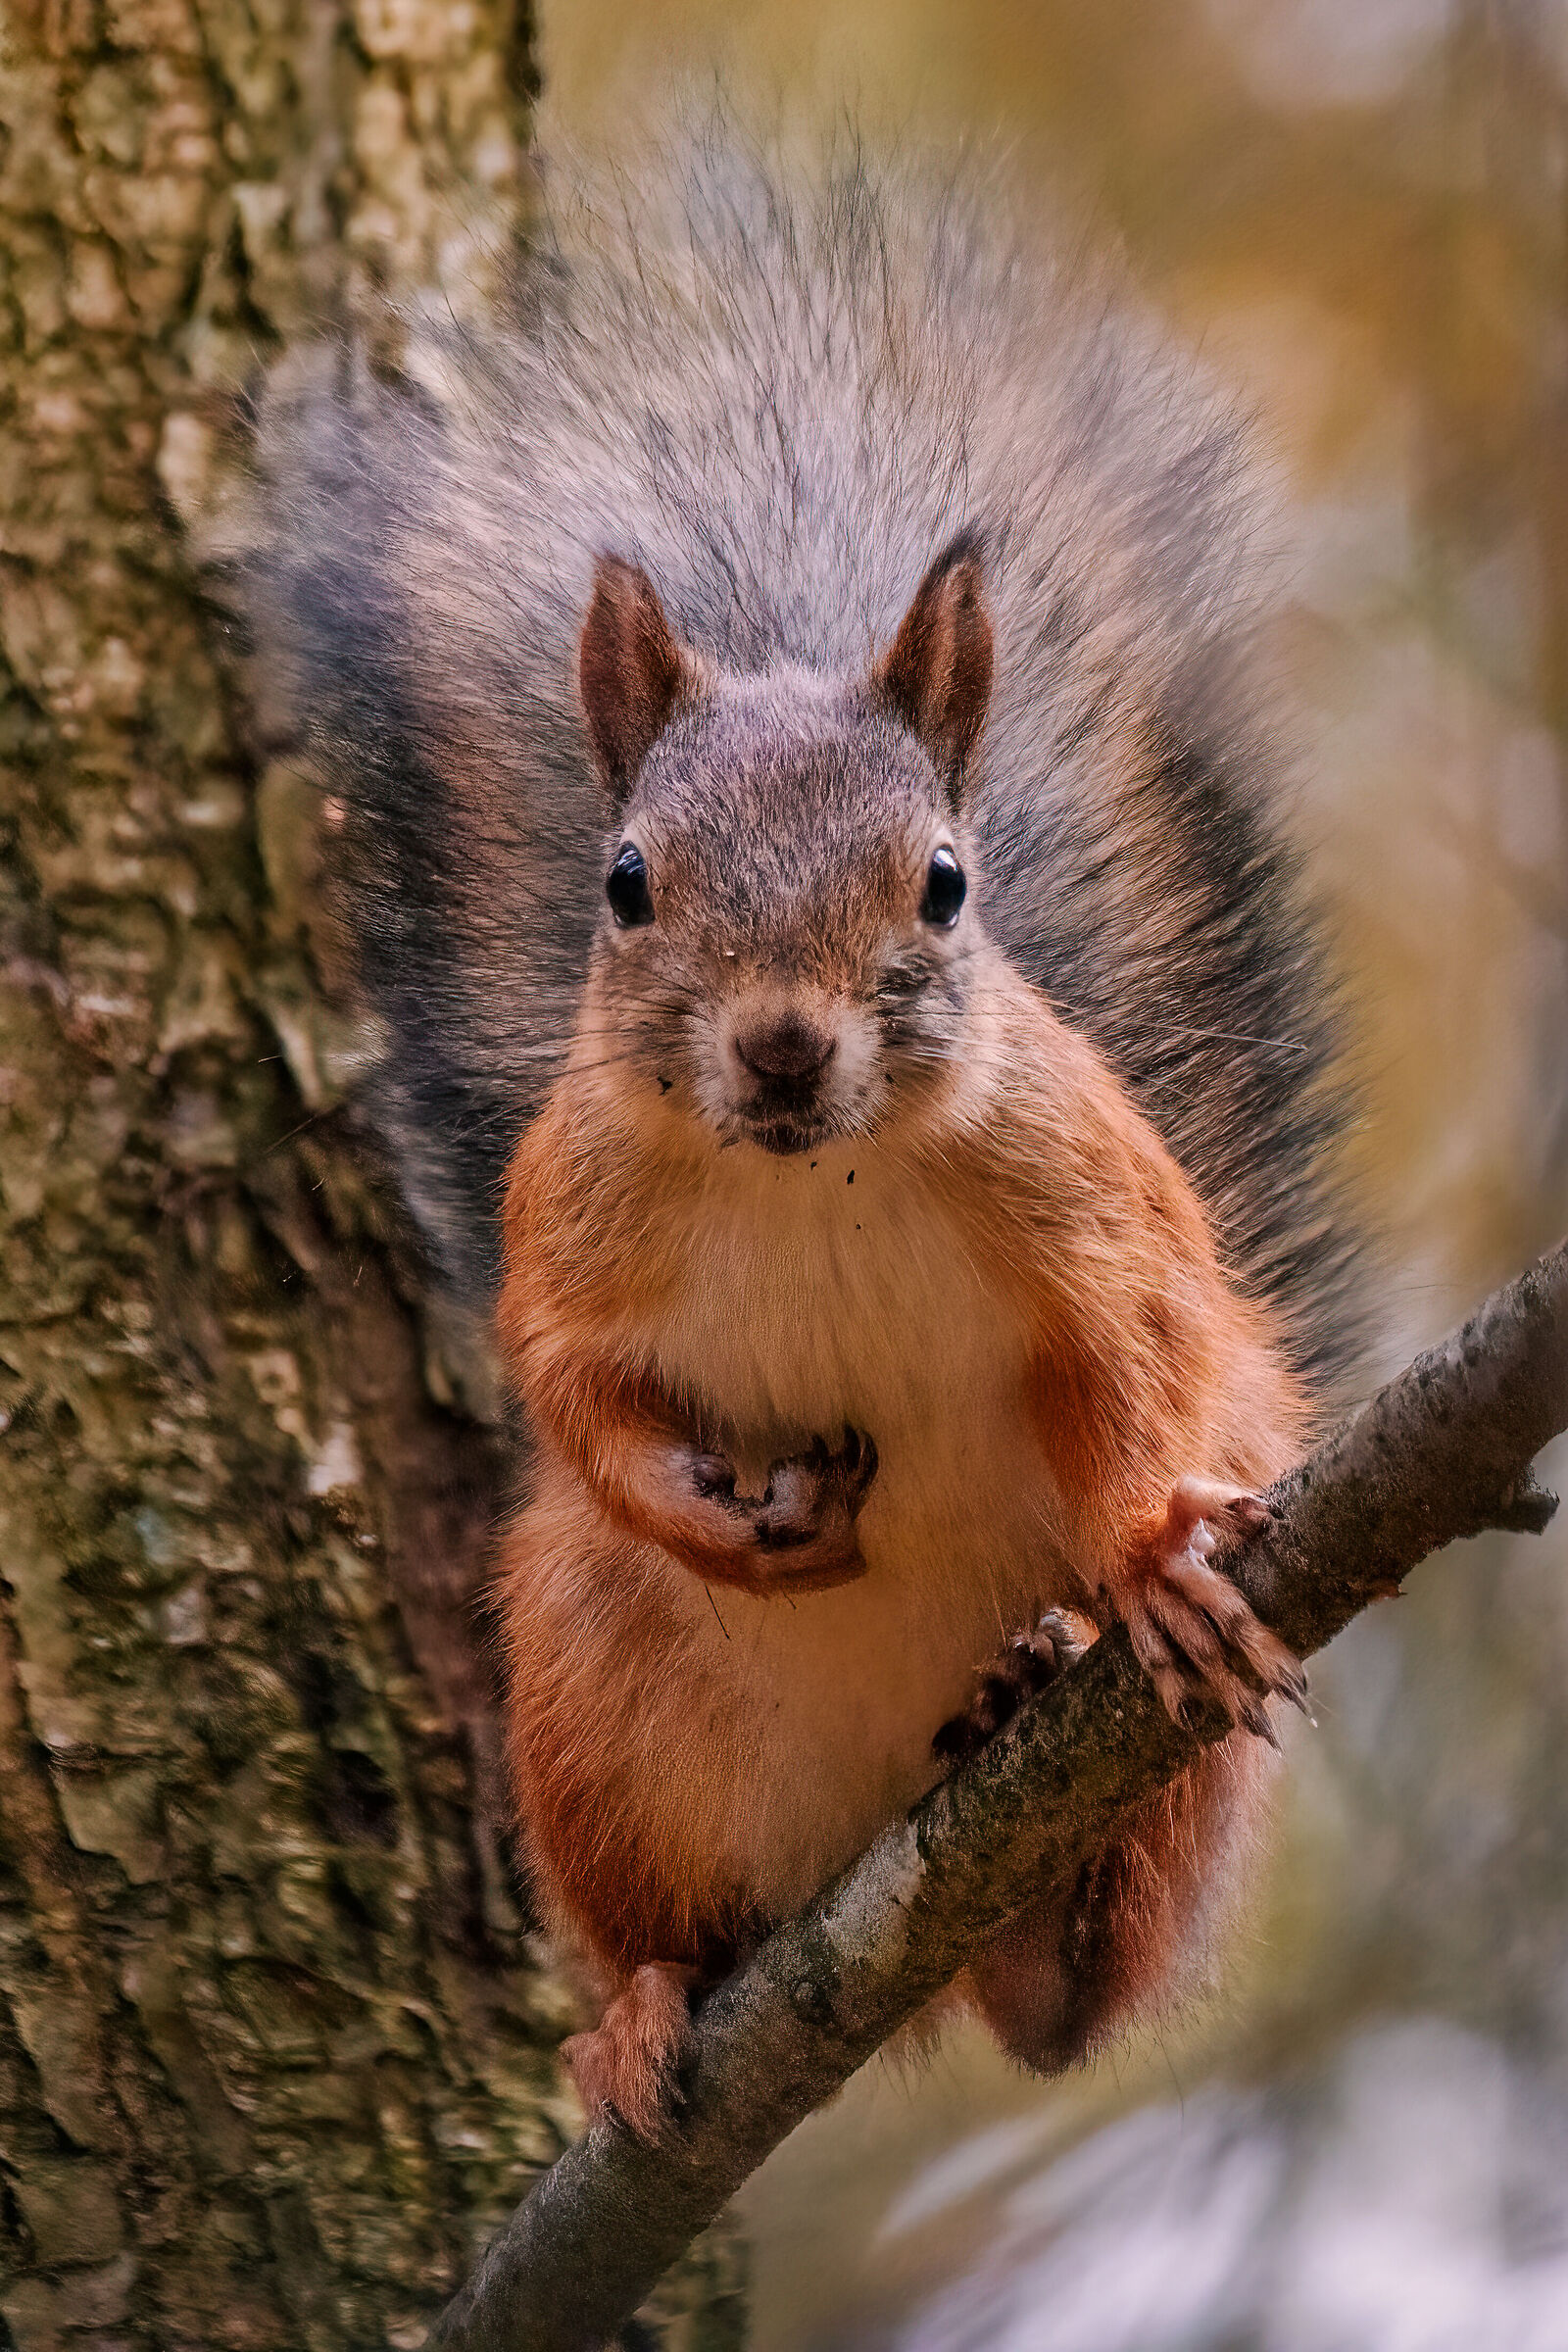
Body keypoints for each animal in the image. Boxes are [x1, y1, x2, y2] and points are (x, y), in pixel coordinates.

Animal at [247, 119, 1361, 2138]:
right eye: (624, 882)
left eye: (945, 883)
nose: (779, 1049)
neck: (808, 1181)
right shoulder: (566, 1226)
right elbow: (566, 1389)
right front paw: (700, 1503)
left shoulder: (1092, 1205)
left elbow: (1137, 1347)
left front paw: (1144, 1554)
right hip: (587, 1714)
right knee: (667, 1922)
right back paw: (643, 2011)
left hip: (1176, 1764)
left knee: (1075, 1989)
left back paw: (1047, 1732)